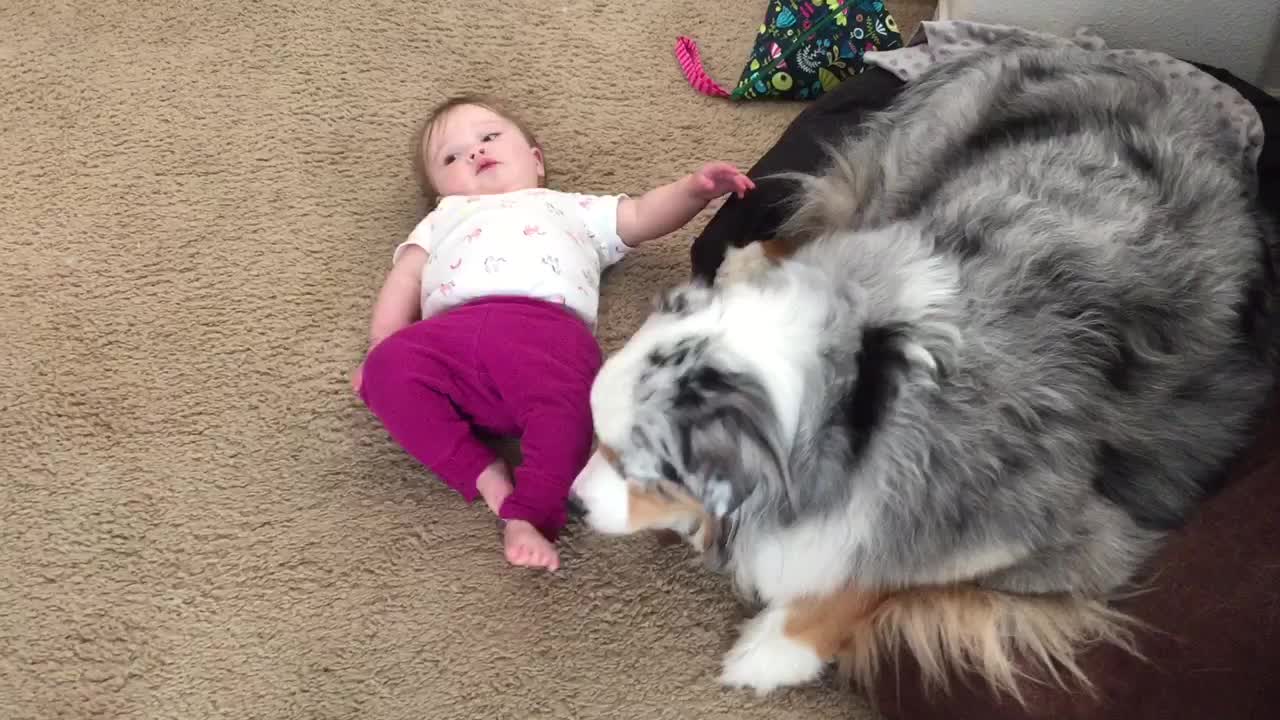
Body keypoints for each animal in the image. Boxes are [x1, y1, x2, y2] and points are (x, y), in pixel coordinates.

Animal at [573, 40, 1280, 702]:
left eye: (647, 472)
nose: (574, 505)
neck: (862, 391)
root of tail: (1091, 51)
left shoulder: (1075, 542)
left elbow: (875, 569)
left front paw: (774, 652)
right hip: (904, 175)